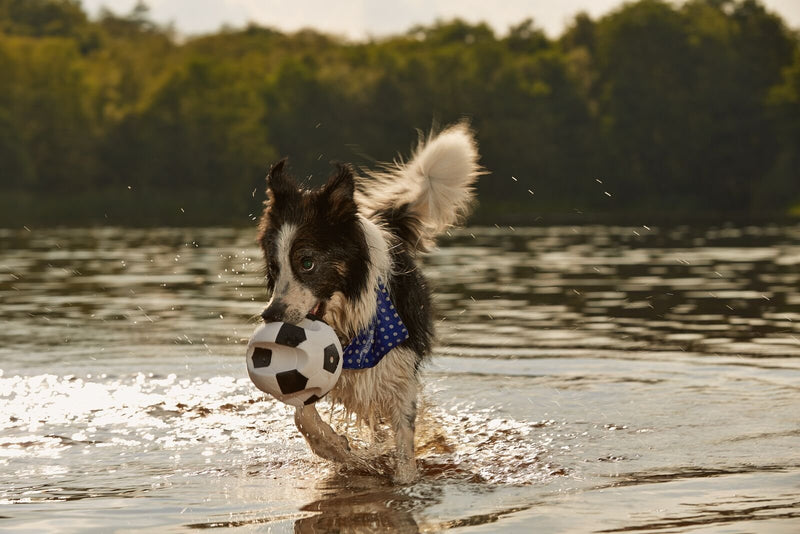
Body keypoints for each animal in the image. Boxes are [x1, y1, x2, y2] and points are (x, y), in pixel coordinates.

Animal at [260, 123, 482, 484]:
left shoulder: (400, 372)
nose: (270, 315)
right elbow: (302, 416)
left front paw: (404, 480)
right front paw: (336, 448)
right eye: (274, 267)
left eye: (306, 262)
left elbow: (404, 440)